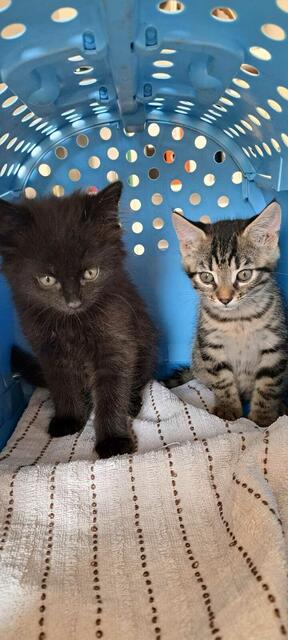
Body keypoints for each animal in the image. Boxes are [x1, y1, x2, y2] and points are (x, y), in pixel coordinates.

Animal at [0, 182, 155, 458]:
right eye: (47, 279)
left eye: (90, 273)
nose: (73, 302)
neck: (71, 323)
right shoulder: (49, 350)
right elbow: (63, 384)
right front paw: (69, 419)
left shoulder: (116, 341)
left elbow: (112, 392)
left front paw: (113, 441)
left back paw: (133, 404)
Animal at [171, 202, 288, 428]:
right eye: (207, 277)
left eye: (244, 274)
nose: (225, 299)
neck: (238, 320)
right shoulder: (210, 345)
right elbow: (222, 379)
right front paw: (227, 409)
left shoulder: (275, 345)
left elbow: (268, 384)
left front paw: (263, 419)